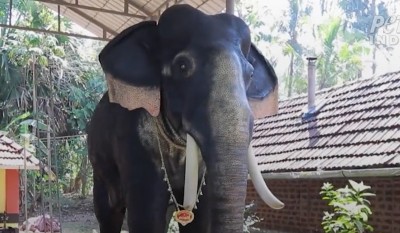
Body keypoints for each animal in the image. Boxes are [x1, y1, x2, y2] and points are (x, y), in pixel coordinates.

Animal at [88, 4, 284, 233]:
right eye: (182, 67)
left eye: (251, 75)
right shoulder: (134, 141)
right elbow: (146, 215)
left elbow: (200, 217)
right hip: (99, 167)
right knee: (108, 213)